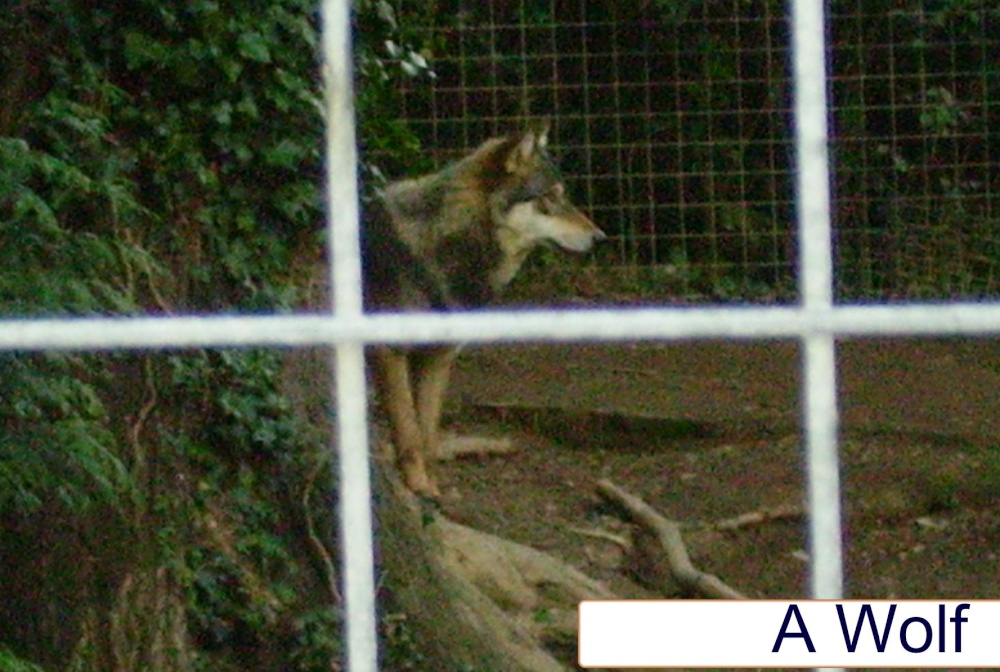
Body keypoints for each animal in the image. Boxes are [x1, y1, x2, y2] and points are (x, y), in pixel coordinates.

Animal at [362, 121, 605, 498]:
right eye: (550, 197)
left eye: (562, 195)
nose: (599, 238)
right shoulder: (390, 353)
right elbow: (409, 432)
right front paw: (417, 488)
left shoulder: (437, 358)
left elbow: (427, 434)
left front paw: (432, 489)